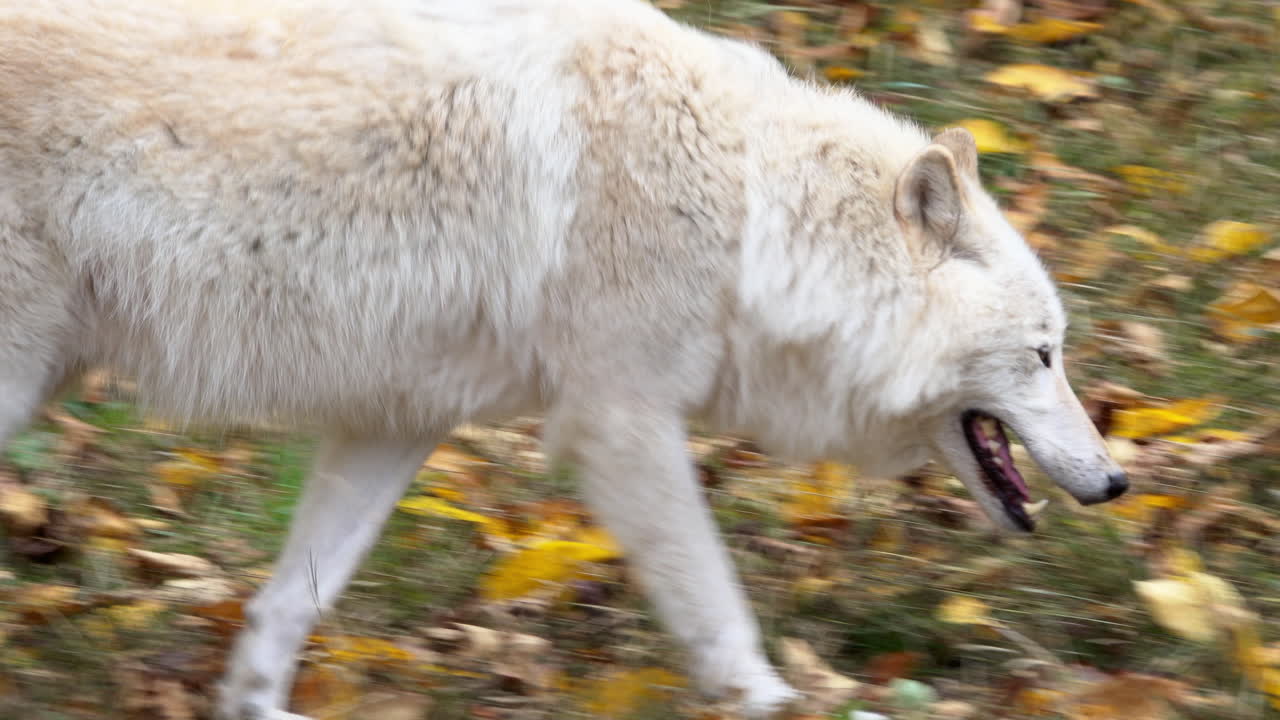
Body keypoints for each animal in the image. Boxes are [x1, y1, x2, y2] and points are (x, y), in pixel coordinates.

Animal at [0, 0, 1128, 716]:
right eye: (1043, 356)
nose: (1119, 481)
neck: (748, 213)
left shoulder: (399, 422)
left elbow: (288, 604)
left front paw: (251, 704)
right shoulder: (621, 426)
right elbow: (720, 617)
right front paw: (780, 705)